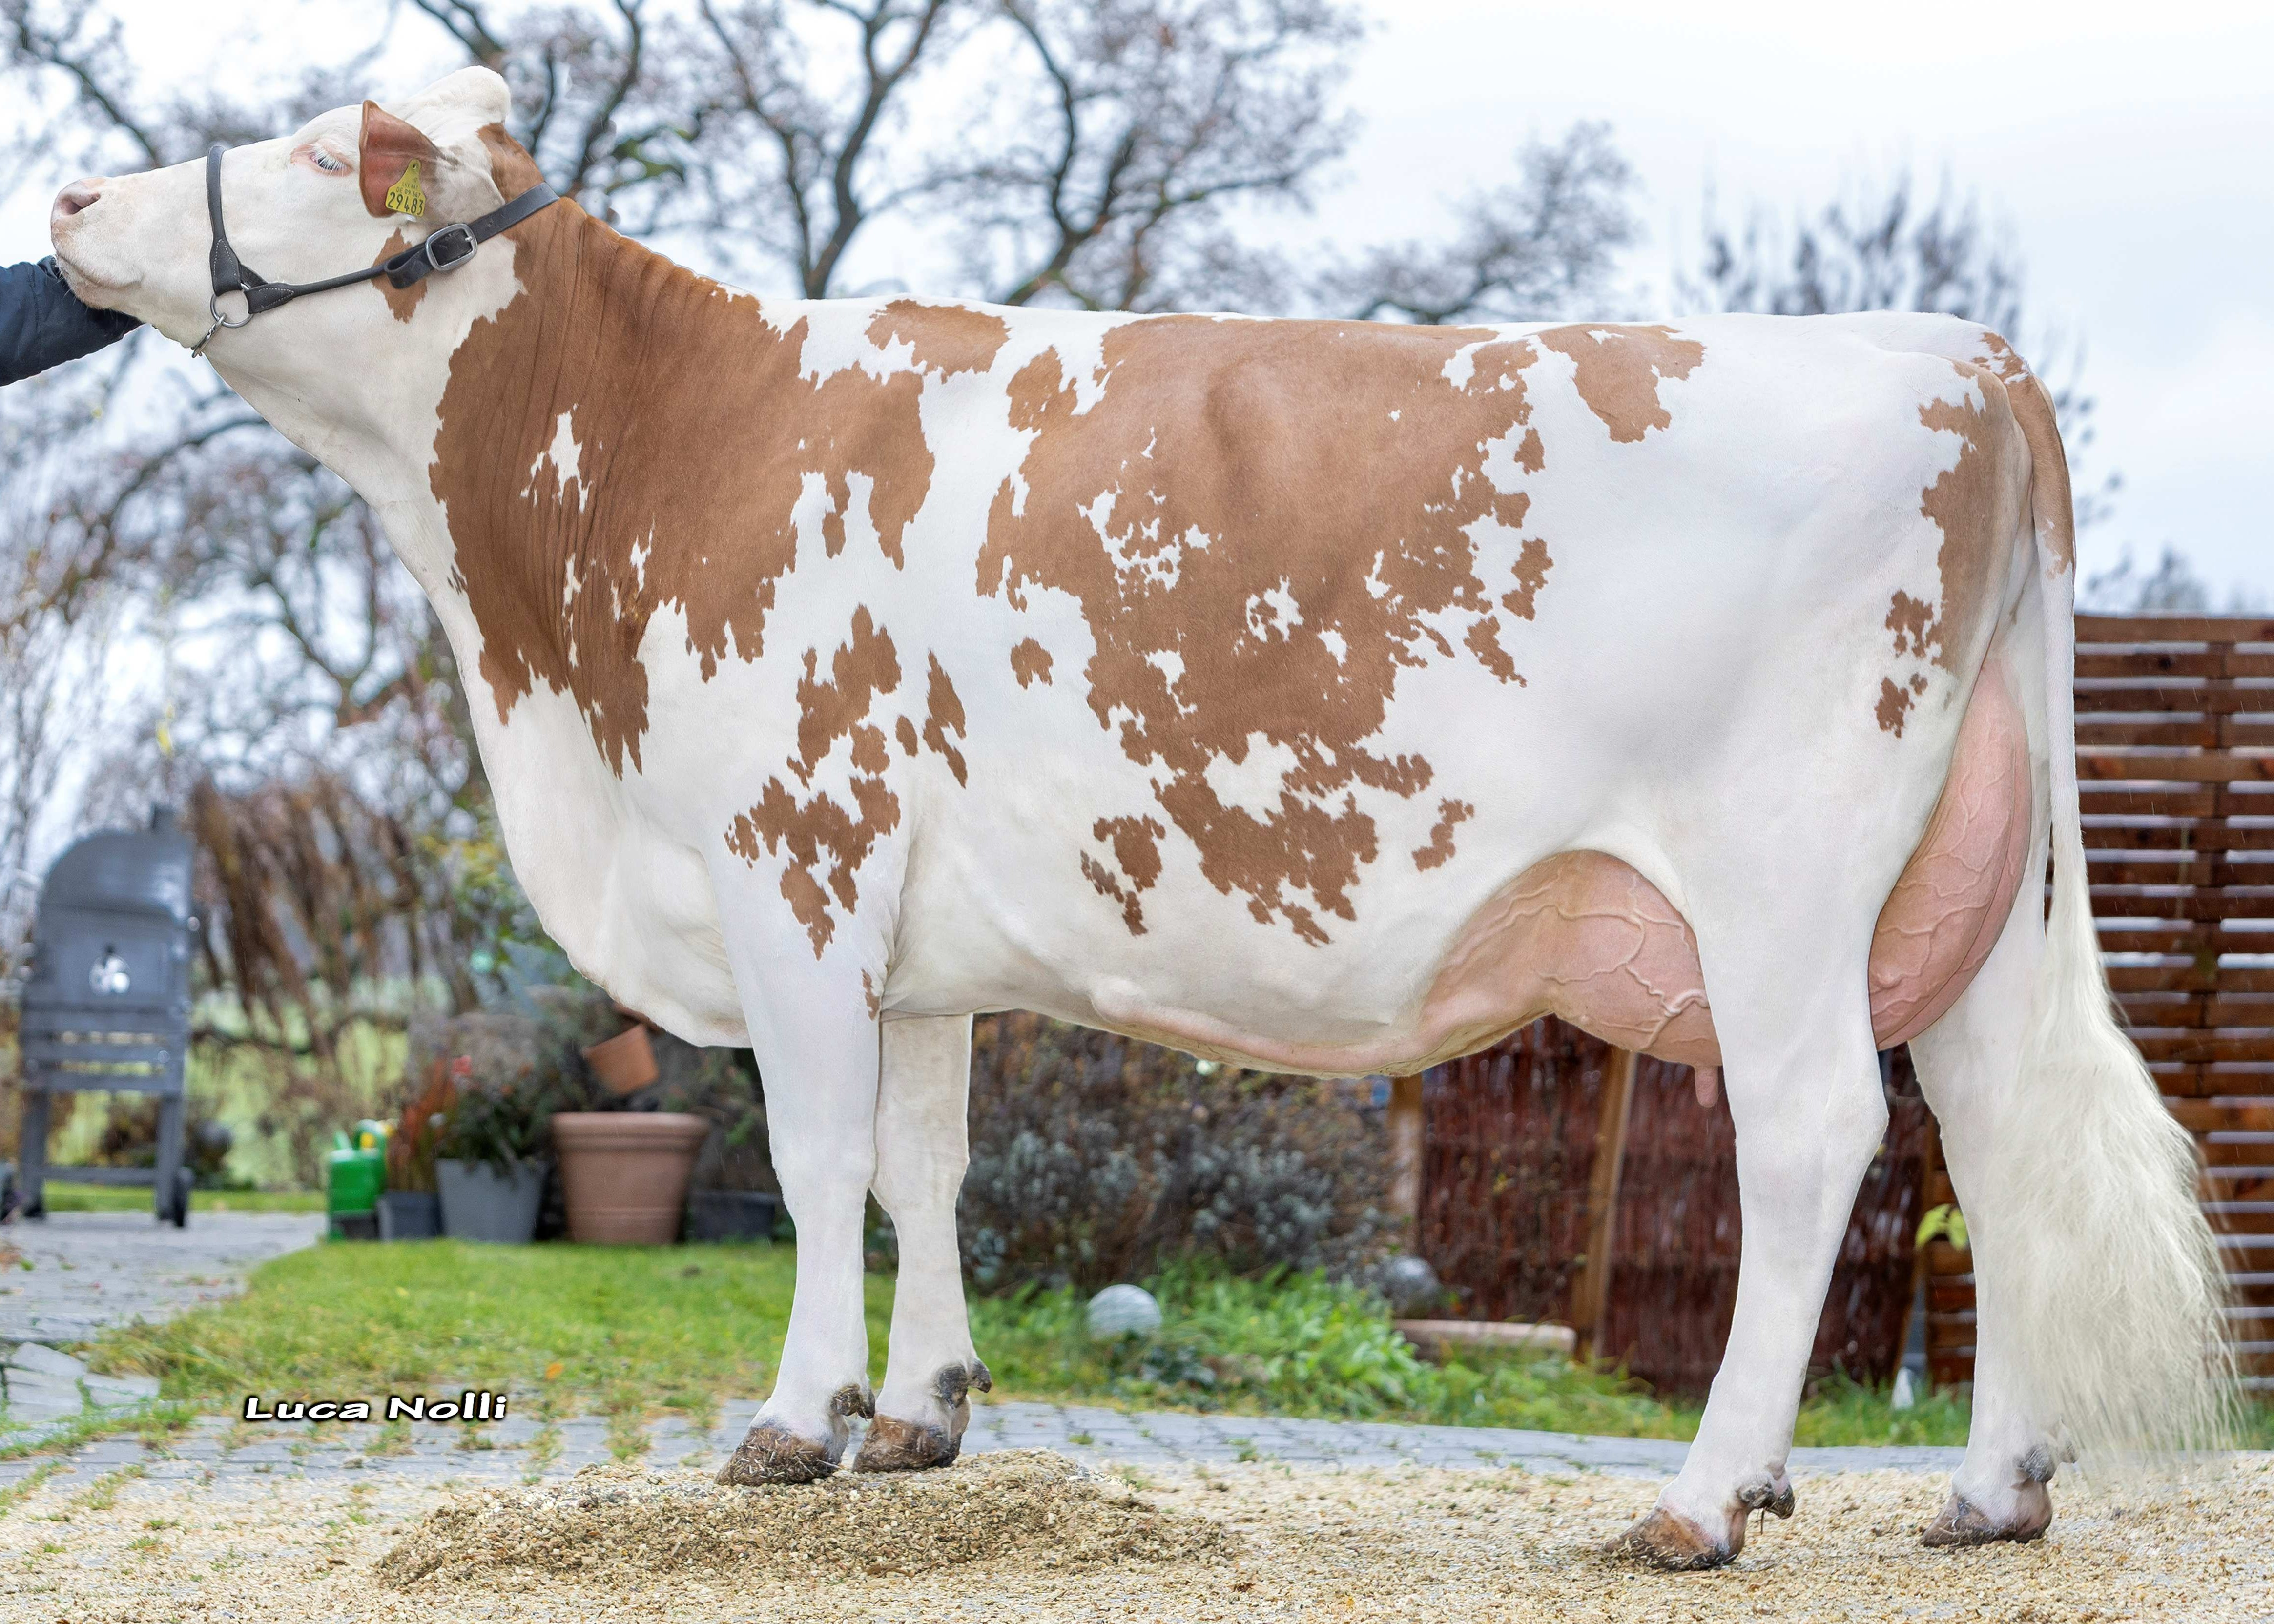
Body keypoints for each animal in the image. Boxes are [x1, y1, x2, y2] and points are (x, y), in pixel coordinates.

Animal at [48, 67, 2230, 1570]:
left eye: (323, 146)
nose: (65, 192)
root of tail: (1952, 352)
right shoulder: (908, 932)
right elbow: (923, 1161)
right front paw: (920, 1415)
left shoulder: (788, 864)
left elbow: (816, 1153)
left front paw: (795, 1418)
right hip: (1970, 892)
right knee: (1990, 1140)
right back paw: (1986, 1489)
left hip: (1780, 885)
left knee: (1815, 1144)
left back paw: (1704, 1497)